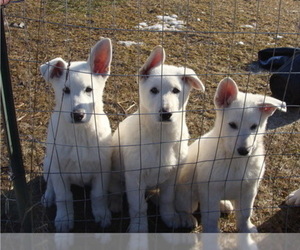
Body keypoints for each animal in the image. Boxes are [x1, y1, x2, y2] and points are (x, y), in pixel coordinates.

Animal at [40, 38, 113, 231]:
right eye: (65, 90)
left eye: (89, 89)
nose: (78, 114)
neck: (79, 133)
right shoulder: (59, 170)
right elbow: (63, 197)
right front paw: (64, 219)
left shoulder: (102, 169)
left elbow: (98, 195)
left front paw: (102, 214)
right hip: (48, 163)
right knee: (50, 184)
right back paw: (48, 196)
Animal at [110, 45, 206, 232]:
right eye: (153, 90)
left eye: (176, 91)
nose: (166, 113)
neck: (161, 136)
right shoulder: (134, 178)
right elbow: (139, 207)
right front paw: (139, 228)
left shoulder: (171, 177)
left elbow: (167, 200)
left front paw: (171, 218)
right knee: (115, 187)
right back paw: (115, 203)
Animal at [176, 77, 286, 231]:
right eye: (232, 125)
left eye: (254, 127)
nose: (244, 151)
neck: (234, 160)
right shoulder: (210, 191)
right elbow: (211, 217)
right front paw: (211, 233)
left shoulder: (248, 190)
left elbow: (245, 214)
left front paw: (246, 230)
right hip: (187, 195)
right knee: (184, 207)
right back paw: (186, 218)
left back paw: (224, 204)